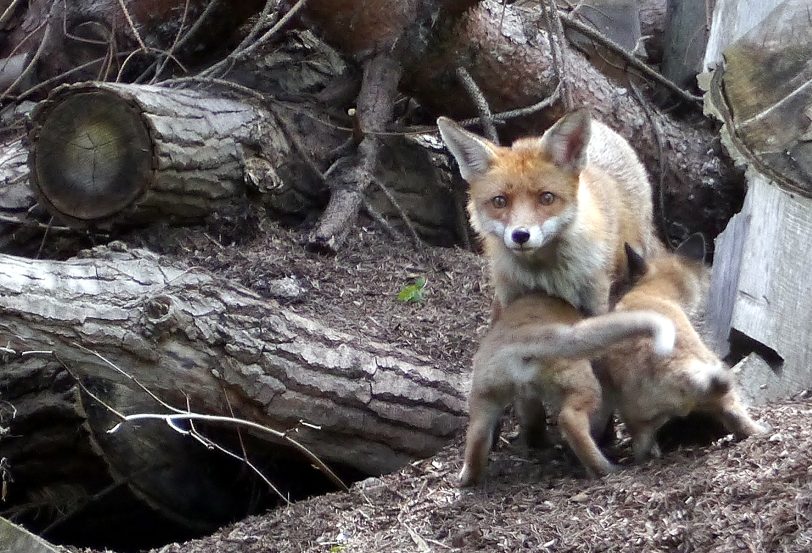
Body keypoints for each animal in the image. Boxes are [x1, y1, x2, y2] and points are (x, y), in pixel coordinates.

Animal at [438, 109, 660, 314]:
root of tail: (601, 125)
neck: (543, 274)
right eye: (499, 201)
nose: (520, 235)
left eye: (547, 198)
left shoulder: (596, 298)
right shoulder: (509, 295)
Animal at [460, 292, 676, 486]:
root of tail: (528, 338)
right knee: (571, 420)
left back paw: (467, 479)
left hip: (485, 396)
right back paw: (604, 469)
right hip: (584, 386)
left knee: (477, 434)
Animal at [592, 235, 764, 460]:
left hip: (637, 419)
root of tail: (677, 369)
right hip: (724, 393)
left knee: (642, 450)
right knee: (741, 422)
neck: (656, 291)